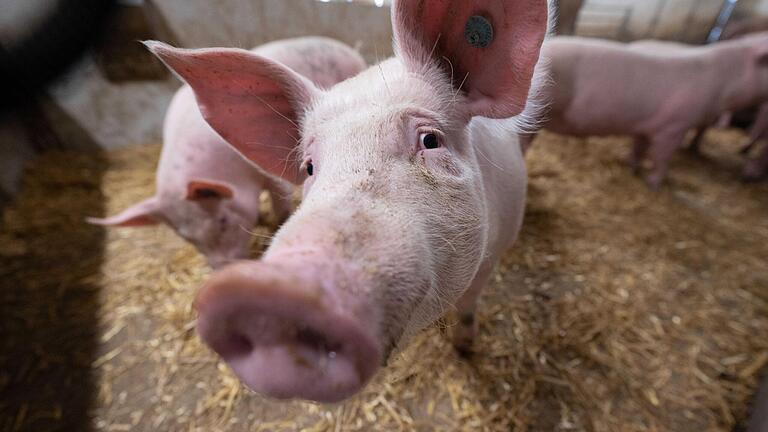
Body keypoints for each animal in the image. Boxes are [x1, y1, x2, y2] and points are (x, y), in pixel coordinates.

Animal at [87, 38, 368, 266]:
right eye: (189, 239)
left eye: (222, 221)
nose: (223, 270)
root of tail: (344, 47)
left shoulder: (269, 174)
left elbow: (281, 200)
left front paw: (278, 220)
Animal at [146, 0, 552, 404]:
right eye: (309, 167)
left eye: (430, 140)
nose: (270, 289)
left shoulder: (494, 250)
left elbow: (469, 307)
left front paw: (464, 349)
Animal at [524, 33, 768, 187]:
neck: (724, 85)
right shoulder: (674, 126)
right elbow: (662, 157)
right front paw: (656, 184)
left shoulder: (645, 126)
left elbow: (639, 148)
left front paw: (633, 169)